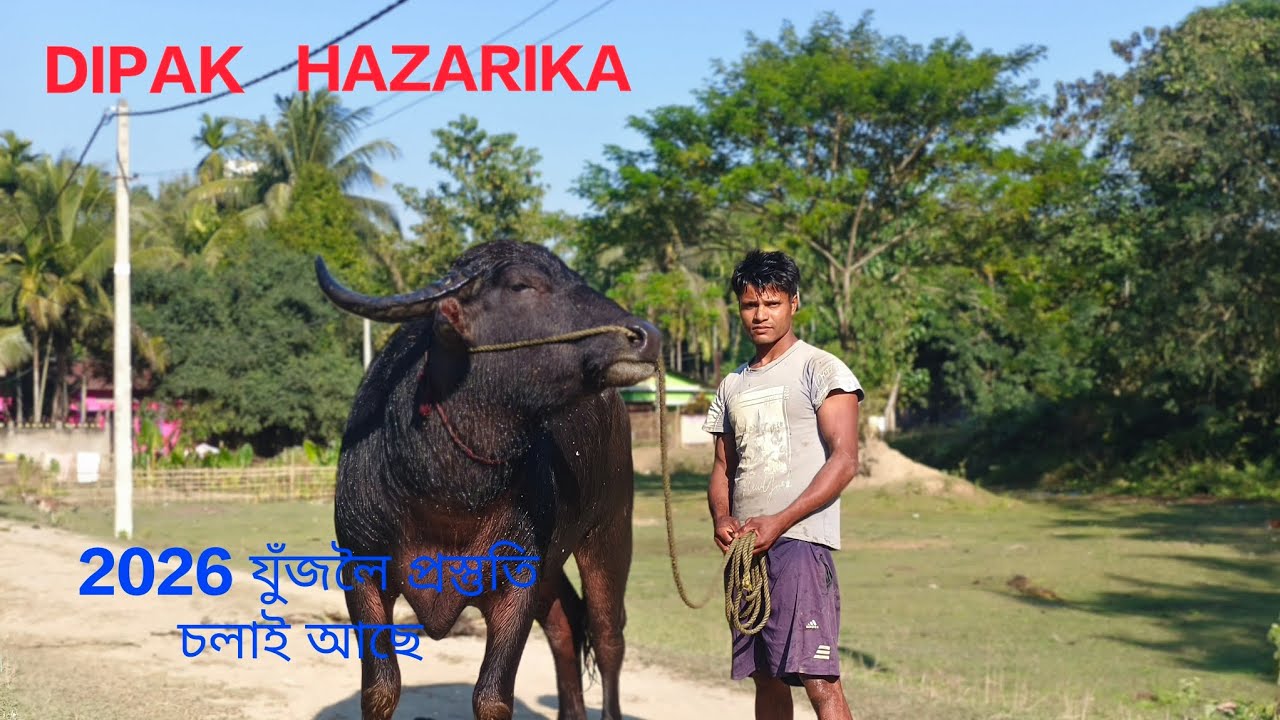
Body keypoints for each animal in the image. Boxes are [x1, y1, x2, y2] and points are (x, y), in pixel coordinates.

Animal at [315, 240, 661, 720]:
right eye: (520, 285)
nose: (647, 335)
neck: (445, 497)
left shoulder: (519, 578)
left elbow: (493, 697)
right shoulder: (361, 570)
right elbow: (380, 689)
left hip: (610, 531)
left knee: (608, 636)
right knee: (565, 625)